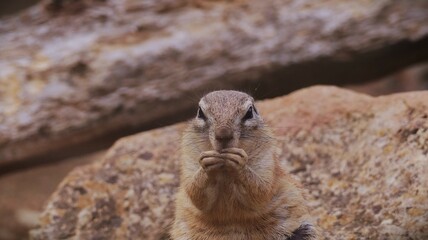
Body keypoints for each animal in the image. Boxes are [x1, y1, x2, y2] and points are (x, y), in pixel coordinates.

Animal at [171, 90, 318, 240]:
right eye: (200, 112)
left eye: (249, 112)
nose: (223, 135)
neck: (225, 169)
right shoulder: (189, 157)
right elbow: (195, 193)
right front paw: (206, 163)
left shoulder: (266, 158)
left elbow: (261, 190)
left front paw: (240, 163)